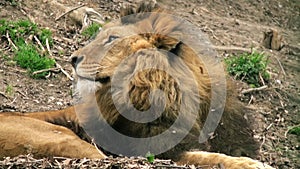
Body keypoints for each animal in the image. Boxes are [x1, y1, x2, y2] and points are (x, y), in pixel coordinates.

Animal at [0, 1, 274, 169]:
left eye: (112, 38)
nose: (73, 58)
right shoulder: (157, 150)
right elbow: (206, 158)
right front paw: (252, 164)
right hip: (68, 140)